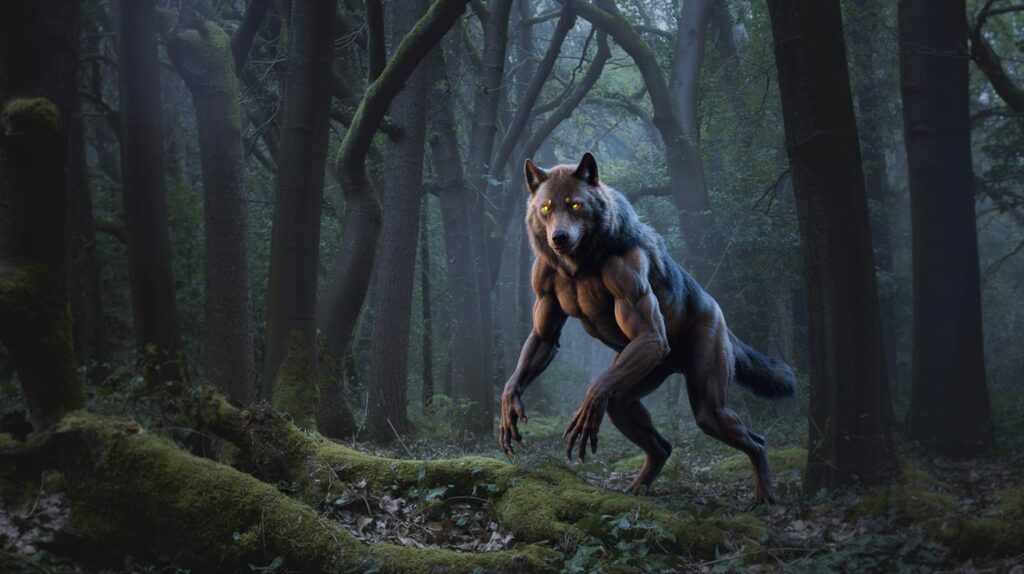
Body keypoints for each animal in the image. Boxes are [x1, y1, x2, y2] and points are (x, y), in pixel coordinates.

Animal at [499, 152, 796, 504]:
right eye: (546, 208)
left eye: (574, 205)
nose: (558, 237)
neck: (580, 265)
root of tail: (718, 311)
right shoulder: (543, 295)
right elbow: (542, 339)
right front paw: (509, 401)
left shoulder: (633, 289)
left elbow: (603, 382)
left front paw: (587, 406)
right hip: (633, 383)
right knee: (659, 444)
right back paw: (637, 488)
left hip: (707, 405)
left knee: (755, 441)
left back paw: (765, 498)